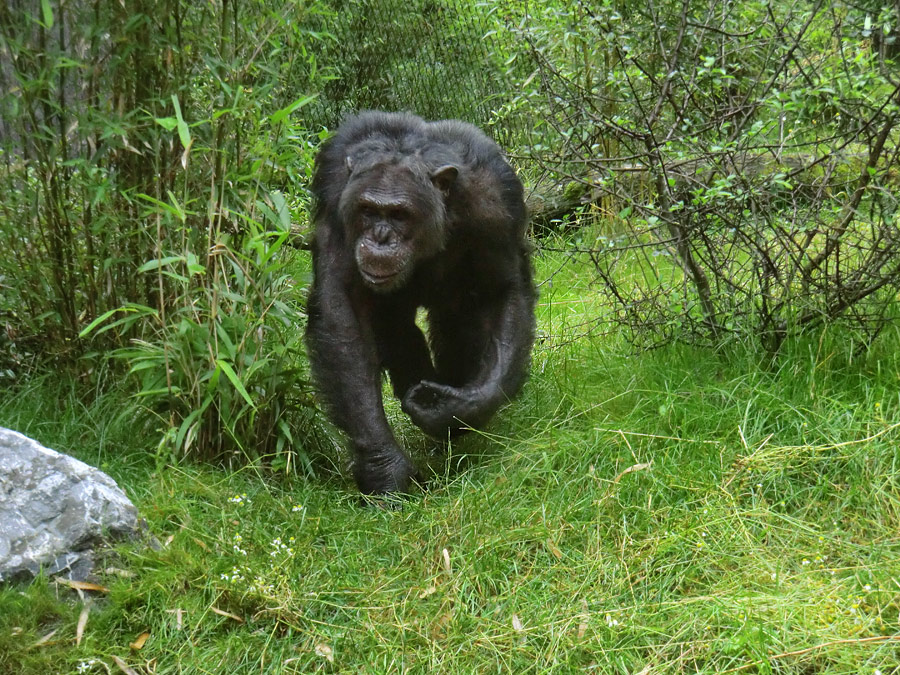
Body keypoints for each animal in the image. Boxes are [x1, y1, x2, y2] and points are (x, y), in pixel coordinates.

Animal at [310, 109, 536, 492]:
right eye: (368, 210)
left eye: (400, 214)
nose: (380, 237)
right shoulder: (337, 192)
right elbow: (343, 310)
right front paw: (385, 468)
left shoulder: (494, 202)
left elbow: (503, 290)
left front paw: (455, 408)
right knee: (396, 328)